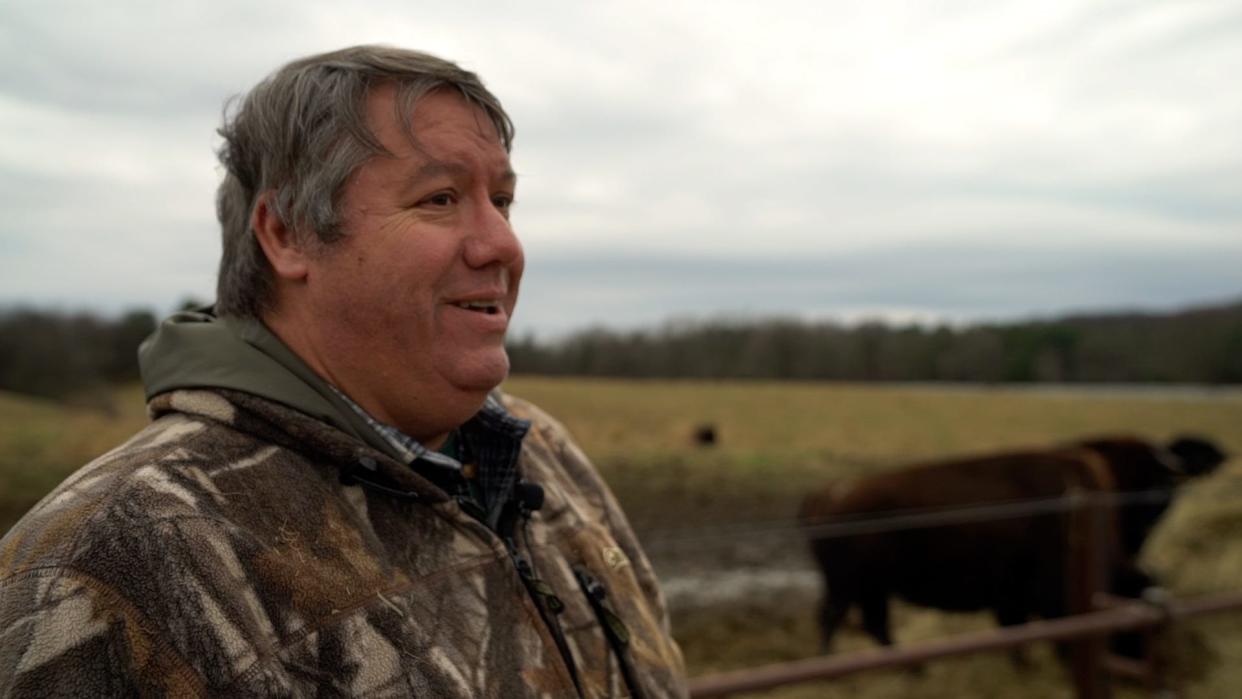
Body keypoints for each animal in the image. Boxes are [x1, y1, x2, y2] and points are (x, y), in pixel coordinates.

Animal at [799, 434, 1227, 655]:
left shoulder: (1011, 598)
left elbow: (1015, 631)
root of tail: (829, 493)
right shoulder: (1030, 594)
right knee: (834, 619)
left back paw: (914, 668)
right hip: (850, 585)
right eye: (1130, 629)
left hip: (872, 587)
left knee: (874, 625)